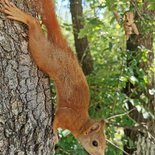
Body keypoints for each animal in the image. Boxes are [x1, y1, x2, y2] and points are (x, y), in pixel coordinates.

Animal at [0, 0, 106, 154]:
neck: (80, 122)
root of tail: (63, 48)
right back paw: (24, 17)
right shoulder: (67, 116)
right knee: (34, 25)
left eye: (105, 145)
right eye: (95, 143)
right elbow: (56, 121)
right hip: (45, 56)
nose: (102, 153)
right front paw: (55, 135)